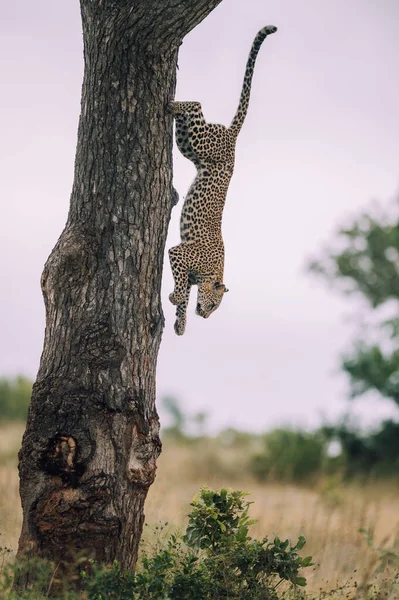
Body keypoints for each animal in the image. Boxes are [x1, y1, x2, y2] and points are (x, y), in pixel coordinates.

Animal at [167, 25, 276, 336]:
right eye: (215, 305)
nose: (205, 316)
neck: (212, 271)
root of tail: (233, 136)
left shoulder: (183, 261)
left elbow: (186, 294)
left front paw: (180, 323)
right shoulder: (178, 253)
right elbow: (182, 285)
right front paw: (176, 297)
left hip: (190, 146)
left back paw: (171, 106)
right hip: (203, 141)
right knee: (196, 104)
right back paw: (172, 103)